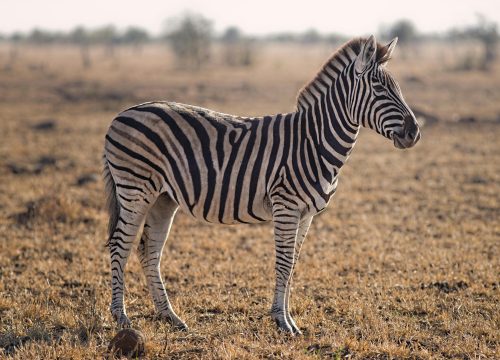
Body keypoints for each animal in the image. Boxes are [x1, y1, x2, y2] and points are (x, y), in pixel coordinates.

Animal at [103, 35, 420, 334]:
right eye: (379, 89)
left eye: (398, 88)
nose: (414, 133)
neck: (314, 141)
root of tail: (122, 113)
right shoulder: (286, 205)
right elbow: (283, 263)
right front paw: (282, 322)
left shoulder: (306, 214)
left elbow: (293, 264)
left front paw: (287, 319)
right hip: (135, 189)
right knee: (120, 245)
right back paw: (121, 317)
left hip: (163, 198)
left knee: (149, 250)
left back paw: (170, 317)